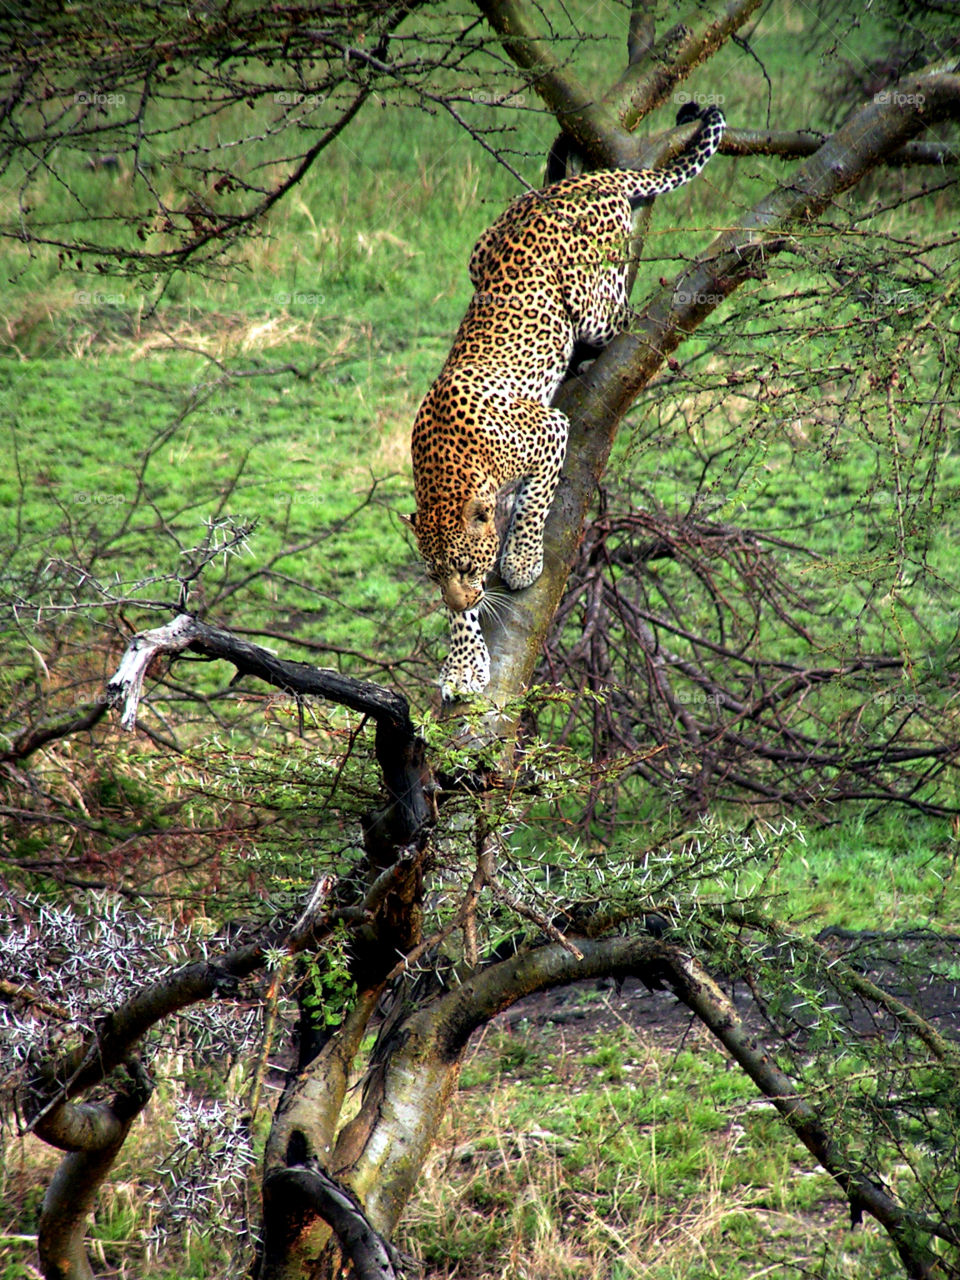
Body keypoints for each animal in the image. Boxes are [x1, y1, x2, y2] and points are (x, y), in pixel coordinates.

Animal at [407, 99, 727, 701]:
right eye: (436, 573)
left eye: (465, 567)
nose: (461, 591)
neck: (447, 464)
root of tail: (578, 184)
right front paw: (463, 663)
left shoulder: (549, 431)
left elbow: (534, 504)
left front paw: (522, 561)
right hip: (477, 254)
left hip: (592, 302)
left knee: (623, 313)